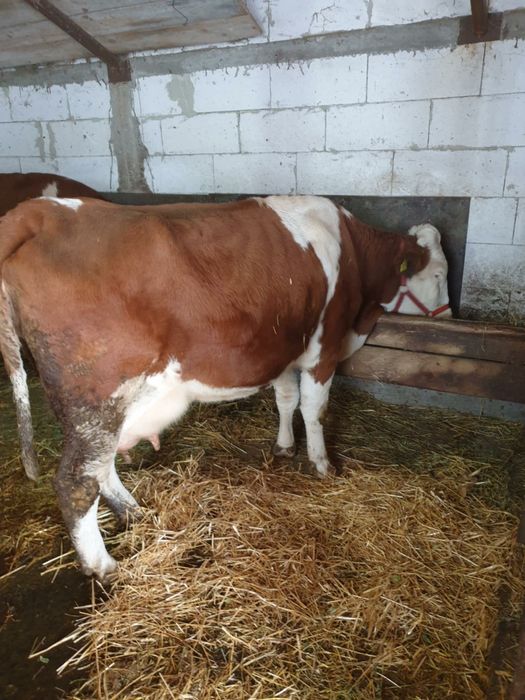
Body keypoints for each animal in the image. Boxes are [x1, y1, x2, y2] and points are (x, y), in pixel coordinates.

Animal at [0, 195, 450, 581]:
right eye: (440, 275)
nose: (449, 317)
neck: (353, 251)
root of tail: (37, 211)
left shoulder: (282, 347)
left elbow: (286, 400)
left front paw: (285, 446)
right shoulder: (324, 347)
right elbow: (314, 408)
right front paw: (321, 464)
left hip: (92, 408)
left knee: (100, 467)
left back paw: (133, 512)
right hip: (99, 396)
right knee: (76, 482)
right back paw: (103, 565)